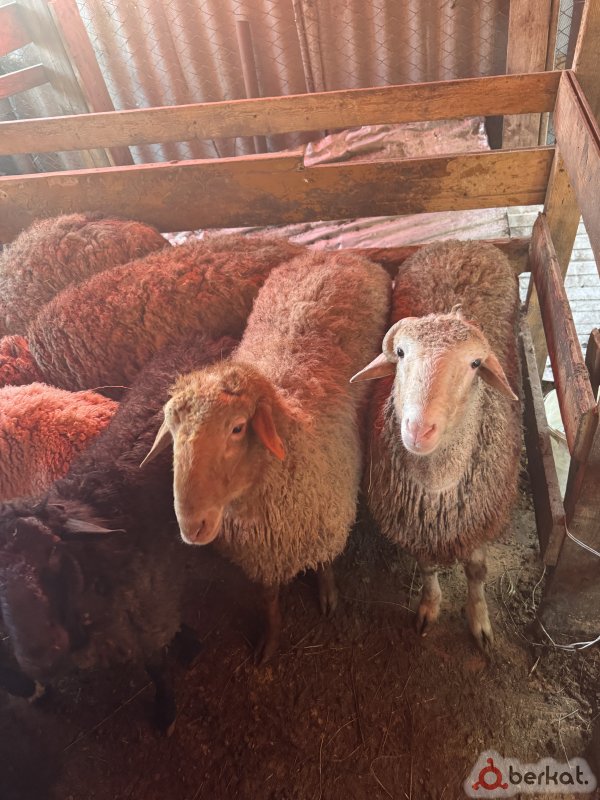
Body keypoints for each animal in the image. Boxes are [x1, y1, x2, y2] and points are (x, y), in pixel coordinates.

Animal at [0, 334, 236, 732]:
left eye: (53, 551)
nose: (38, 655)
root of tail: (205, 339)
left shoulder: (149, 616)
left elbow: (156, 668)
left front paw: (165, 708)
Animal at [142, 251, 392, 663]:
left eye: (237, 428)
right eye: (173, 432)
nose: (191, 526)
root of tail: (333, 253)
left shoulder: (324, 522)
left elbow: (325, 564)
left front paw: (328, 596)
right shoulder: (262, 556)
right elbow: (270, 601)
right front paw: (270, 641)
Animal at [351, 240, 522, 651]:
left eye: (475, 363)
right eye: (400, 353)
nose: (418, 429)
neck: (436, 489)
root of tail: (461, 243)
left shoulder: (478, 520)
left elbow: (476, 570)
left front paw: (479, 620)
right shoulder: (415, 528)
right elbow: (426, 567)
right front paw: (429, 607)